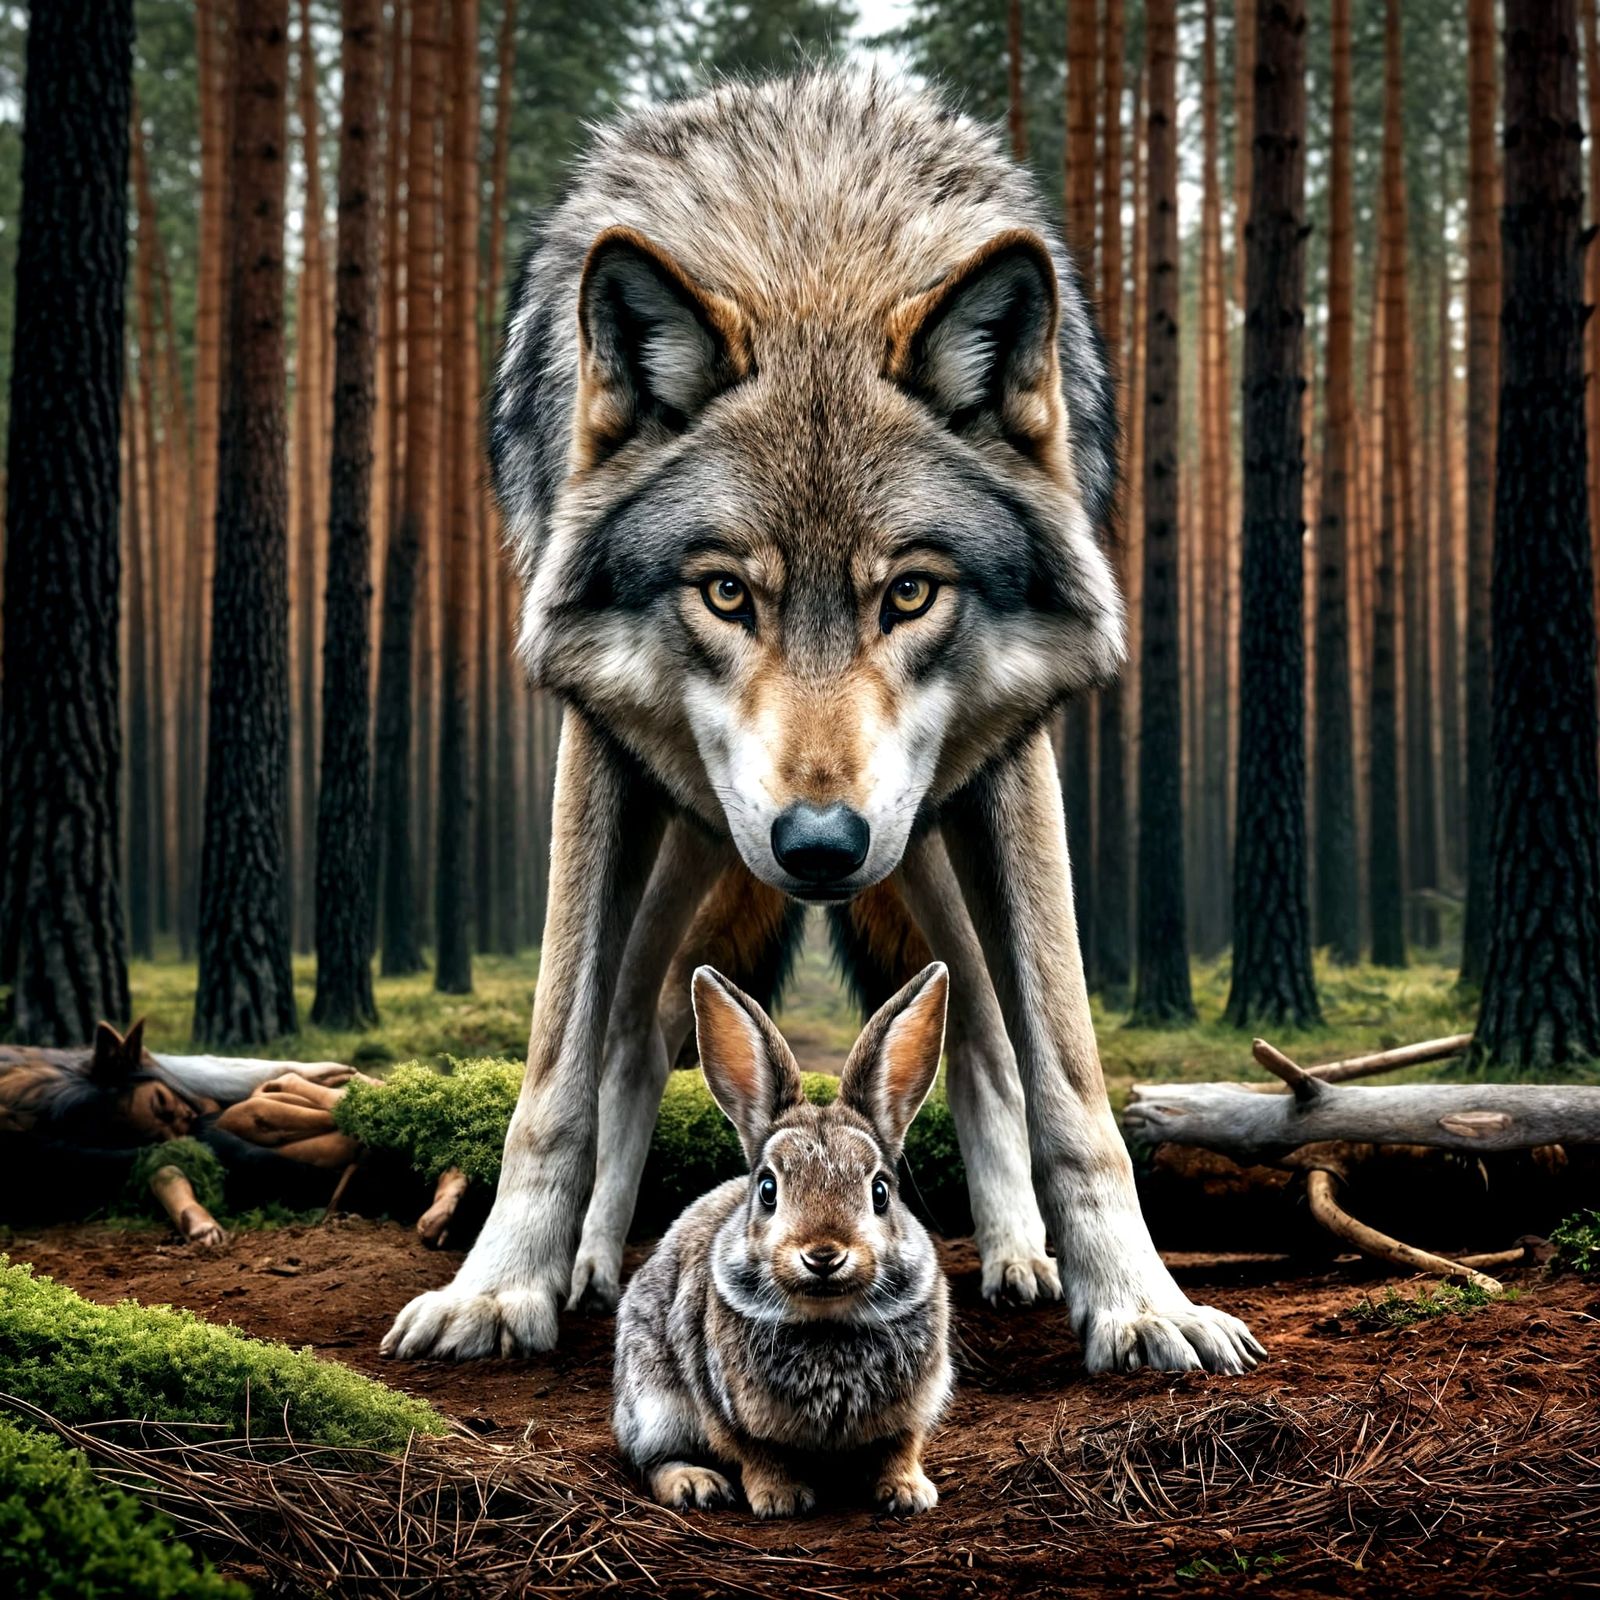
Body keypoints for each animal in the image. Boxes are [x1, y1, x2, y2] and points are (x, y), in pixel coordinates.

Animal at [381, 69, 1263, 1375]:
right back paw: (592, 1260)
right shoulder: (599, 749)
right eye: (724, 593)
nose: (816, 848)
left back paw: (1017, 1253)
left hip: (924, 827)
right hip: (698, 824)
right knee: (639, 1026)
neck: (814, 256)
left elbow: (1066, 1076)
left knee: (975, 1030)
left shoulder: (1008, 769)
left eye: (907, 594)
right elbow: (555, 1073)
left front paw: (1141, 1302)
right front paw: (498, 1289)